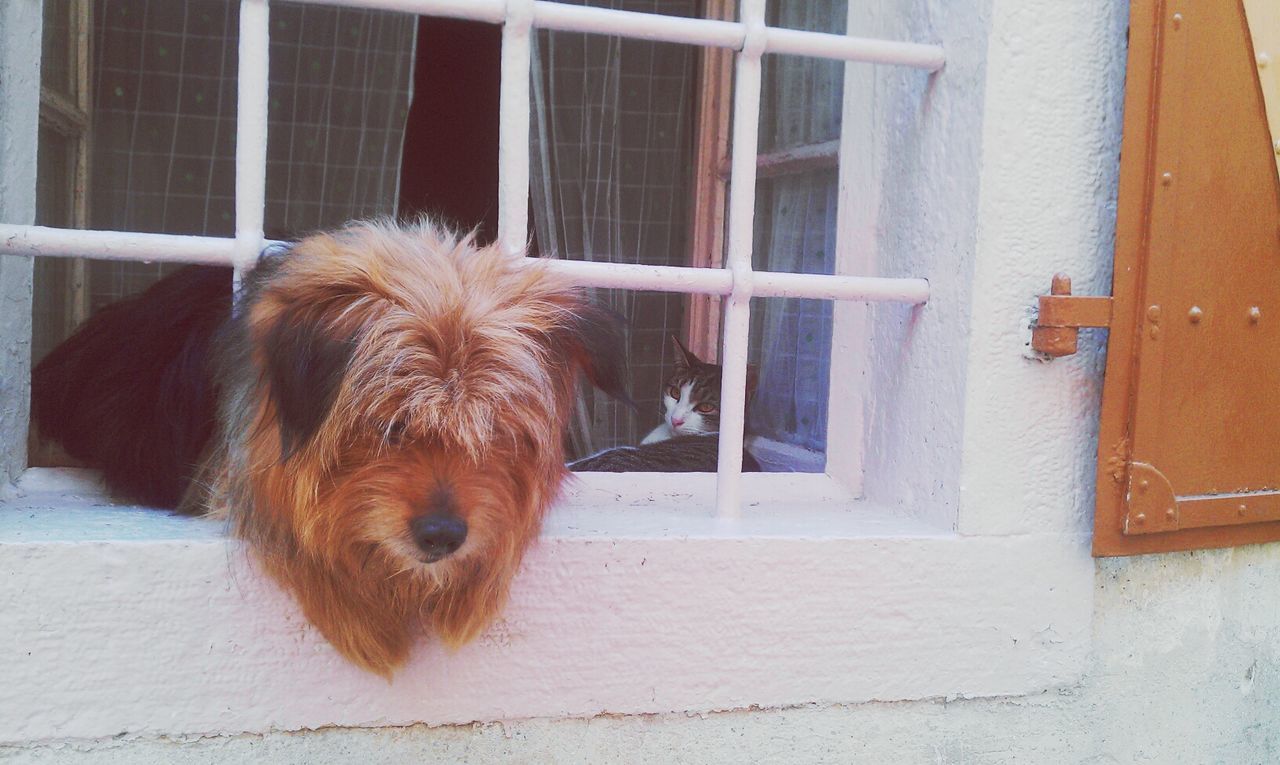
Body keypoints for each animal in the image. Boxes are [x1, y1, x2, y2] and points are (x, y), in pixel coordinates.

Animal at [31, 221, 624, 675]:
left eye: (492, 428)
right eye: (390, 426)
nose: (443, 536)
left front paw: (471, 592)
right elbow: (292, 526)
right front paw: (357, 613)